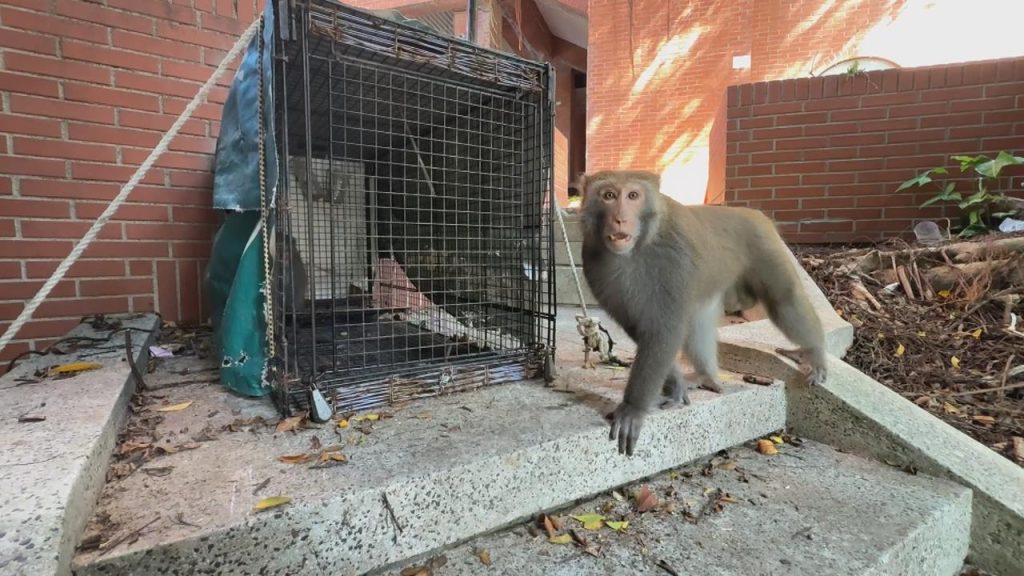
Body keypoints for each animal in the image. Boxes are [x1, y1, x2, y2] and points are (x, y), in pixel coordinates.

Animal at [578, 170, 827, 456]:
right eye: (608, 195)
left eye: (632, 195)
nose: (620, 217)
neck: (639, 246)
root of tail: (753, 213)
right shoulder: (594, 261)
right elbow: (639, 327)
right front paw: (675, 384)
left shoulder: (675, 255)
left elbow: (665, 329)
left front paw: (633, 408)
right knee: (699, 322)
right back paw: (705, 375)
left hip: (766, 246)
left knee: (785, 302)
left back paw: (816, 353)